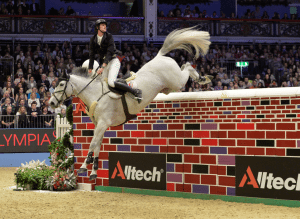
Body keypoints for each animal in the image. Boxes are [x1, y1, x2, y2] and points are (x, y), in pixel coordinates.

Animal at [49, 26, 211, 181]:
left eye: (61, 84)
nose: (51, 103)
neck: (95, 94)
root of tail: (159, 56)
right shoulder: (100, 126)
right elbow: (97, 145)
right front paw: (93, 172)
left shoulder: (102, 124)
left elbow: (93, 144)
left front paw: (83, 166)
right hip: (169, 88)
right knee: (185, 66)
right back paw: (201, 78)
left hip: (177, 81)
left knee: (187, 66)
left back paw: (202, 78)